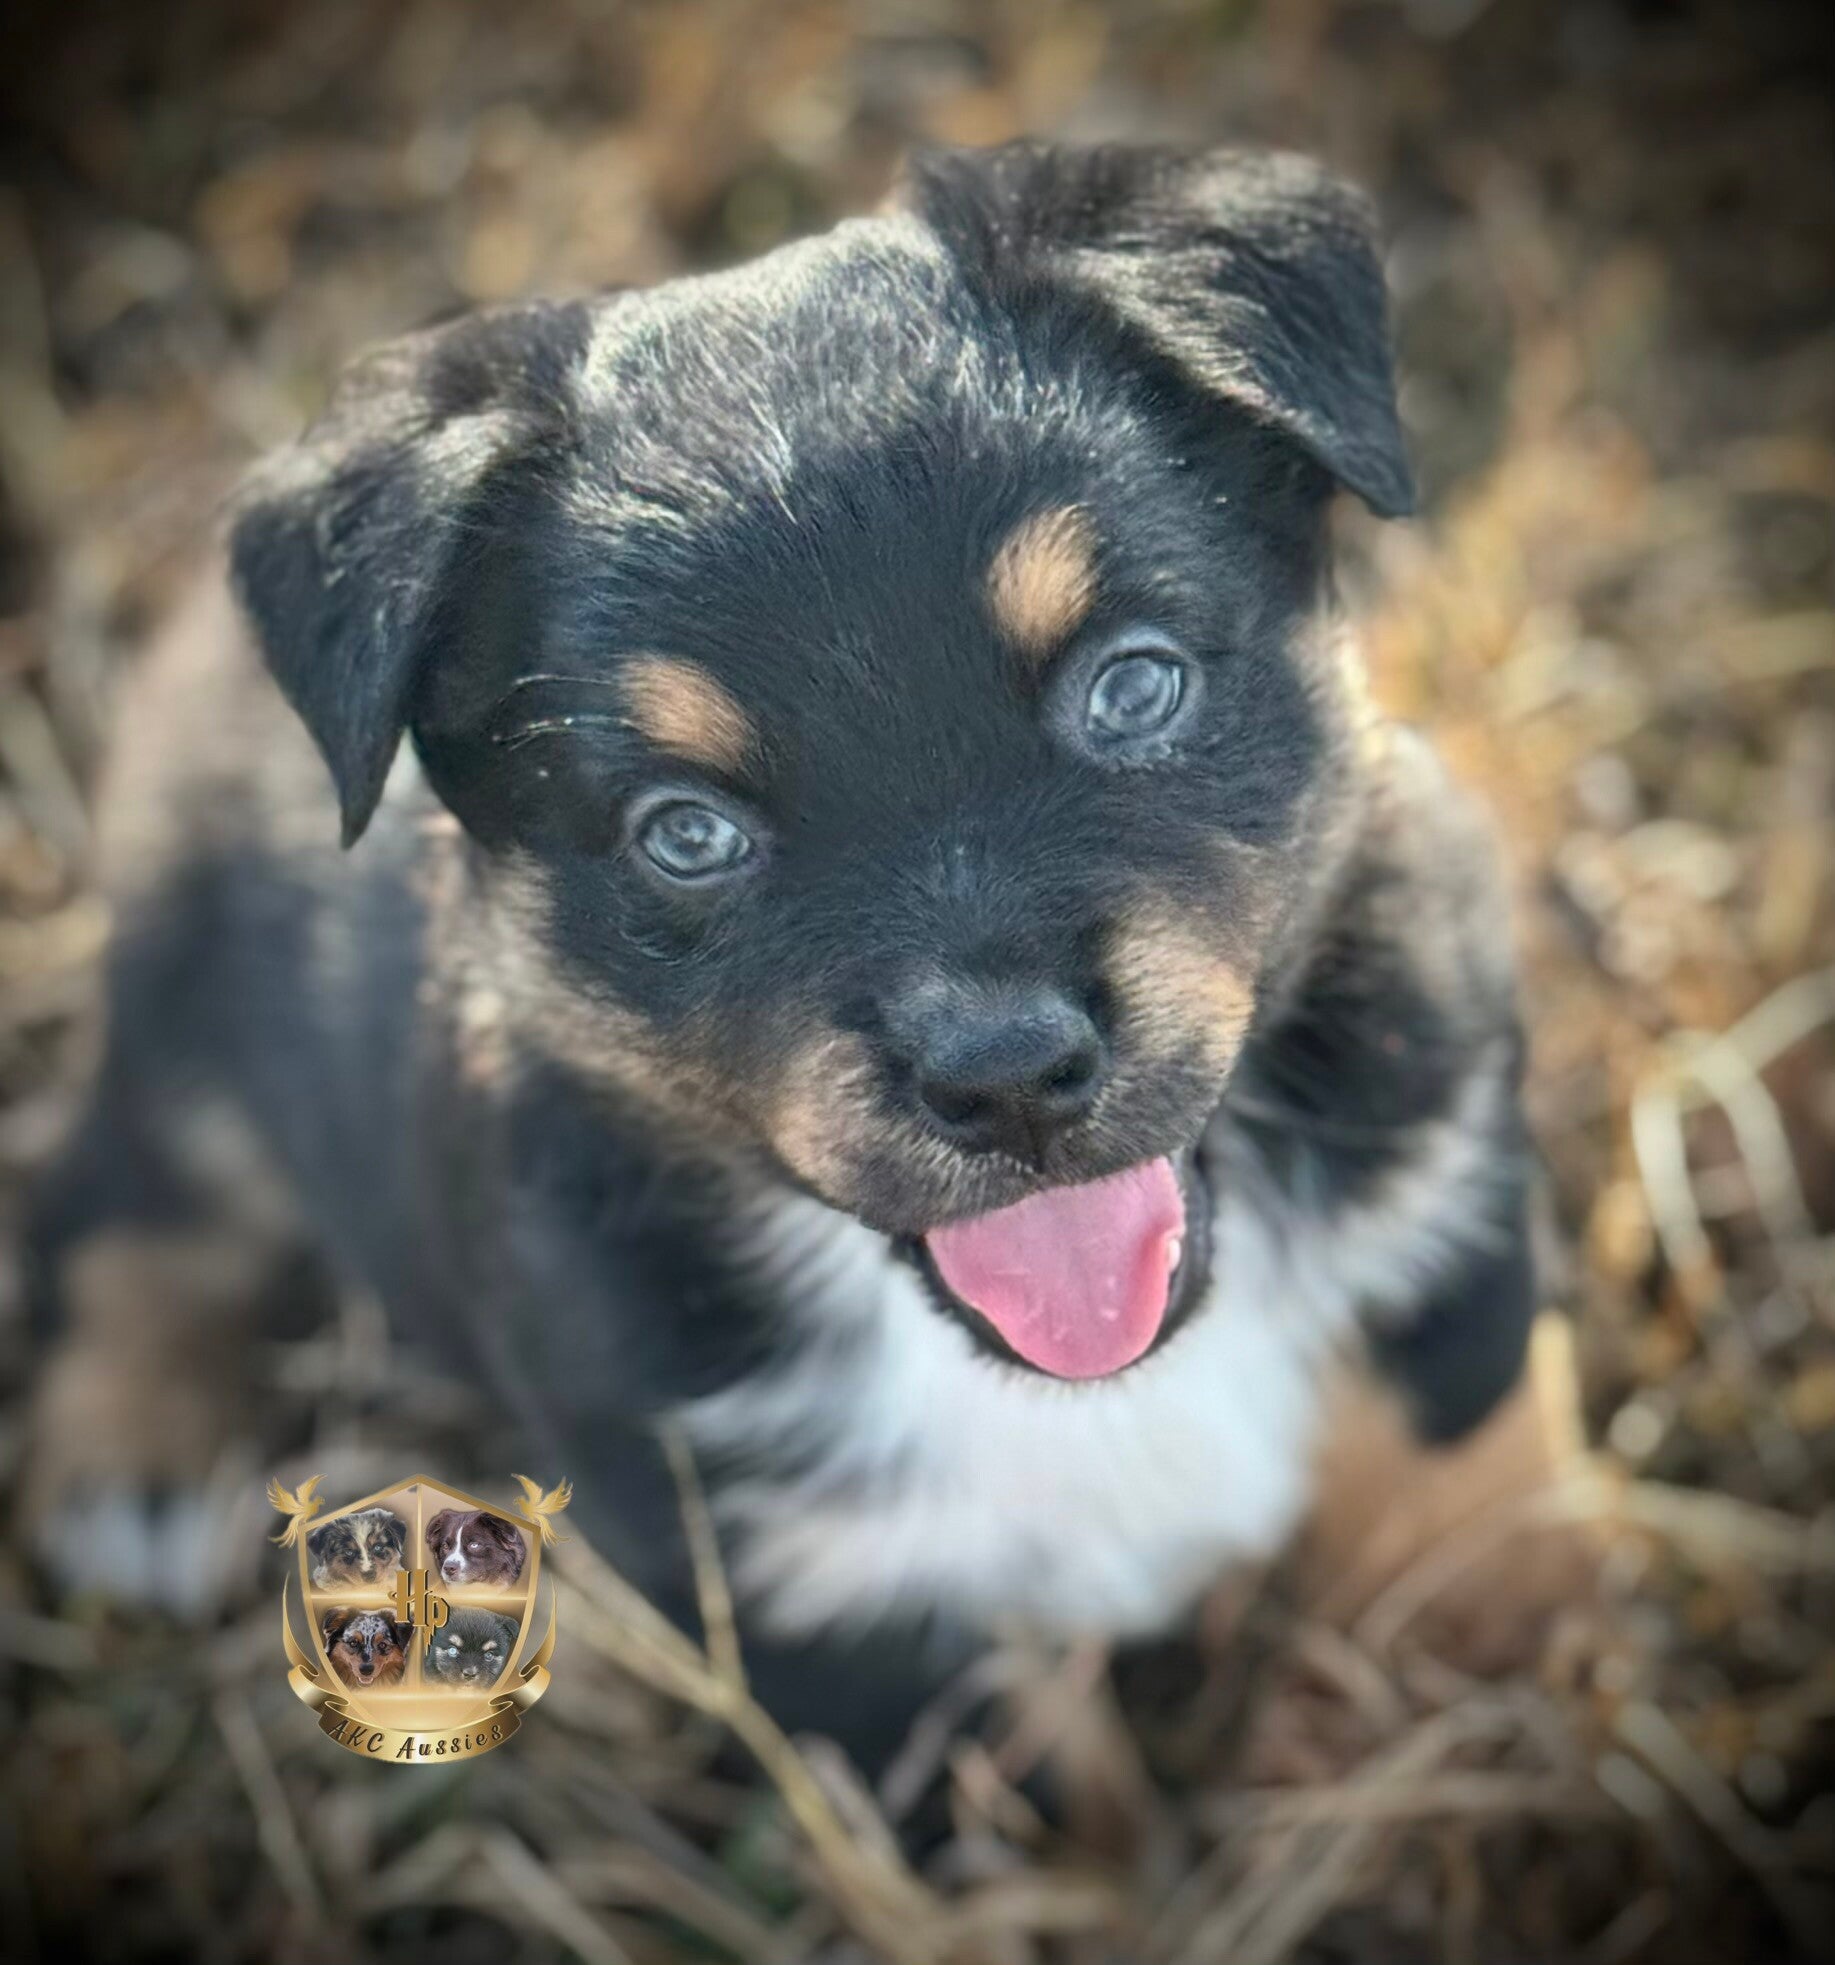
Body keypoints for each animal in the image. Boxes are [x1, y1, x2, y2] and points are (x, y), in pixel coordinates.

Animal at [27, 141, 1566, 1769]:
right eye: (685, 833)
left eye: (1133, 684)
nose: (1005, 1076)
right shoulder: (820, 1604)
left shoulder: (1444, 1187)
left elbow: (1468, 1512)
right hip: (198, 996)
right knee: (116, 1187)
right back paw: (129, 1464)